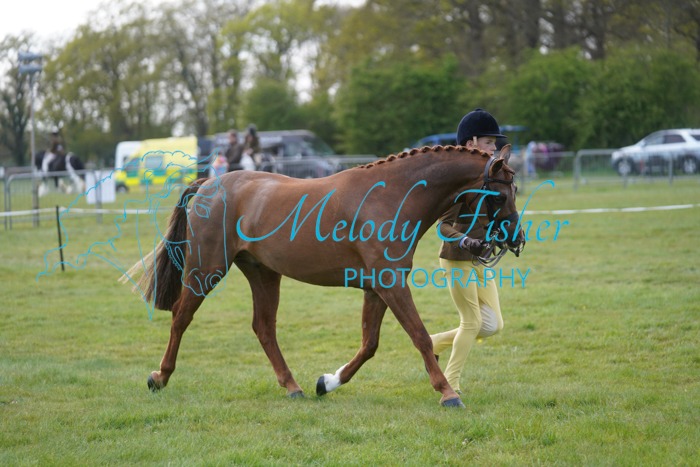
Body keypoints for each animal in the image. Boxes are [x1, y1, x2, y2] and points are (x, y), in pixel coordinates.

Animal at [122, 144, 525, 407]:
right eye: (501, 195)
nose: (516, 239)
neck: (392, 196)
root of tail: (208, 185)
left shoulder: (378, 288)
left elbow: (370, 344)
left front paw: (327, 383)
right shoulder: (391, 284)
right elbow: (420, 337)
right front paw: (448, 393)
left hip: (263, 274)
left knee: (263, 327)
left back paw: (294, 387)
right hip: (207, 269)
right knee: (181, 316)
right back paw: (159, 377)